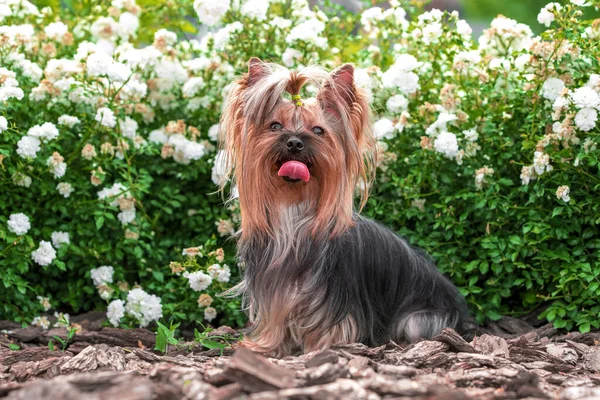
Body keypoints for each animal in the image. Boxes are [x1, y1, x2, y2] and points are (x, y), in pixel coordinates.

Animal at [218, 57, 472, 356]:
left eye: (318, 130)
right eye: (275, 126)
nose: (294, 141)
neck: (294, 208)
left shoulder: (337, 297)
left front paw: (323, 348)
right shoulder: (274, 288)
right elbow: (276, 315)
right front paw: (267, 346)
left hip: (420, 318)